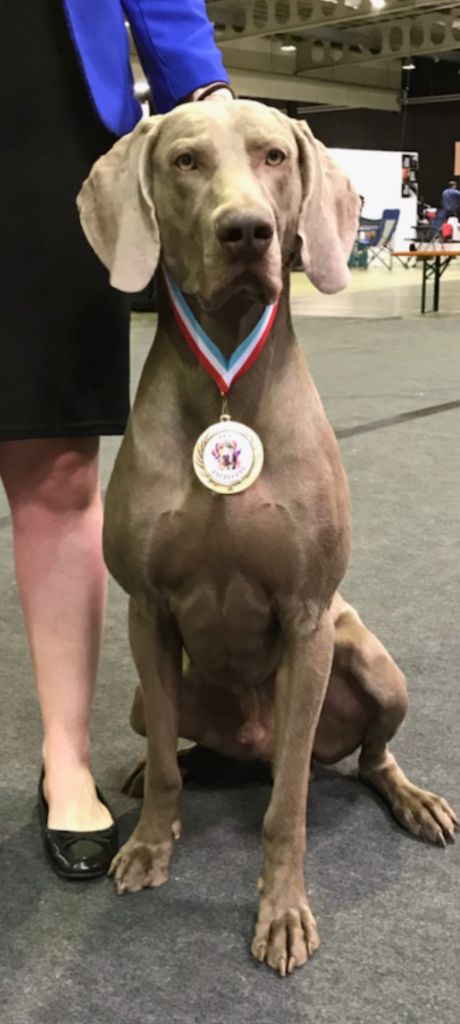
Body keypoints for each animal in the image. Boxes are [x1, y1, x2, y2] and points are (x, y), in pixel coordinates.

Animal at [78, 100, 457, 976]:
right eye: (184, 160)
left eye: (274, 156)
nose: (246, 230)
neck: (227, 380)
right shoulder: (147, 610)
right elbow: (173, 769)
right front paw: (151, 845)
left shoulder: (309, 618)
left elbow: (289, 805)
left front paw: (282, 911)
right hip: (154, 695)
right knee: (181, 748)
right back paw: (160, 772)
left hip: (374, 666)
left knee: (367, 759)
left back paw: (415, 801)